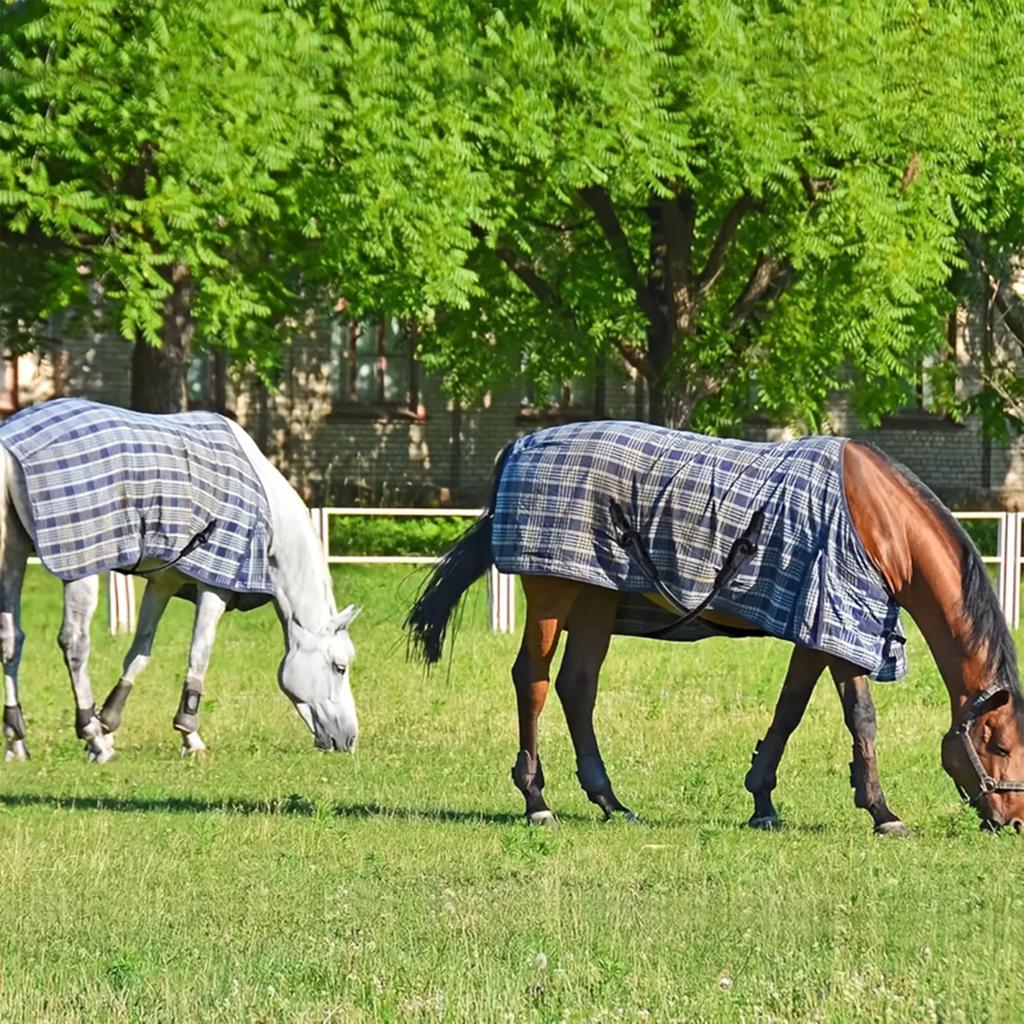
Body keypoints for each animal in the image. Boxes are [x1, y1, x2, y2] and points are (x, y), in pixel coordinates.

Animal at [0, 398, 360, 762]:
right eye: (339, 667)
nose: (349, 739)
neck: (267, 511)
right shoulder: (215, 587)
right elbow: (199, 653)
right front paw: (189, 736)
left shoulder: (163, 583)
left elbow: (139, 652)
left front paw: (109, 724)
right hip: (80, 569)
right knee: (75, 642)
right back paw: (92, 736)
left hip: (11, 556)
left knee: (11, 640)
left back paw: (17, 739)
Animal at [406, 420, 1024, 833]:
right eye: (997, 743)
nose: (1013, 820)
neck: (879, 518)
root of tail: (520, 447)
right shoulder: (839, 624)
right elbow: (861, 718)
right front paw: (881, 811)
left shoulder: (816, 628)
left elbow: (789, 710)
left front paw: (763, 802)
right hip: (552, 595)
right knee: (531, 681)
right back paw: (537, 802)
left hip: (597, 598)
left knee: (577, 687)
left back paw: (611, 802)